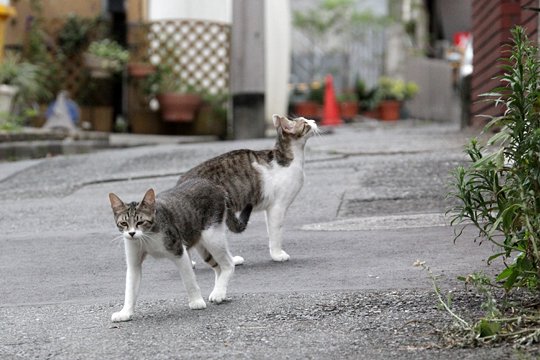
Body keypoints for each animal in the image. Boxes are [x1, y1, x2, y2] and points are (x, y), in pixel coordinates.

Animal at [110, 179, 254, 322]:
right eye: (124, 223)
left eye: (140, 222)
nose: (132, 233)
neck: (147, 237)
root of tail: (216, 186)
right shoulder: (133, 261)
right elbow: (130, 287)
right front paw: (125, 312)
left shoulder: (179, 250)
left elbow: (188, 279)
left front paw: (196, 301)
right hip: (202, 243)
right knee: (218, 267)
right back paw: (219, 290)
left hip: (211, 235)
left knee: (228, 263)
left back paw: (219, 292)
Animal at [179, 115, 318, 262]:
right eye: (305, 123)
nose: (314, 121)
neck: (289, 157)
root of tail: (182, 180)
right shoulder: (277, 207)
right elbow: (276, 233)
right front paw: (277, 254)